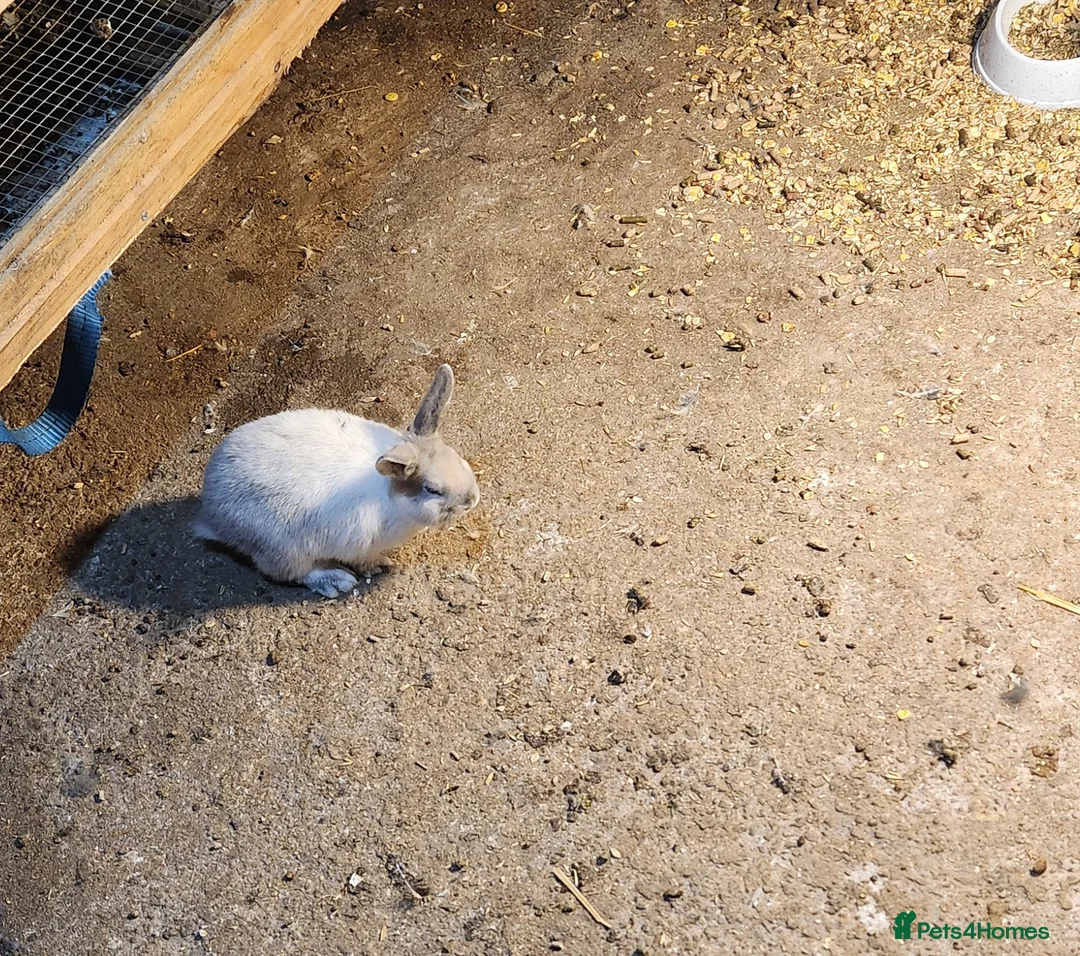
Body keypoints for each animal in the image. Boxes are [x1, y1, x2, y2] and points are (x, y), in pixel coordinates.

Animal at [193, 364, 479, 598]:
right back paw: (335, 580)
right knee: (289, 573)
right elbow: (364, 561)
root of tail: (212, 517)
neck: (391, 494)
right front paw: (381, 566)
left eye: (458, 458)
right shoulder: (360, 546)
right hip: (284, 550)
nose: (471, 500)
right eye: (432, 489)